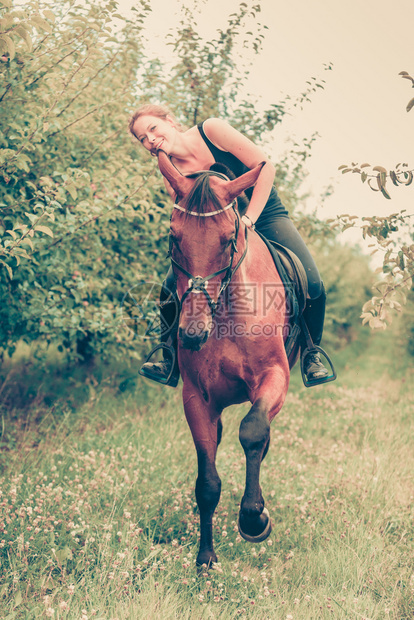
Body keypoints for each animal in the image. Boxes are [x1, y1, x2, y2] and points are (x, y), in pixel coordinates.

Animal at [157, 150, 292, 568]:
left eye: (229, 239)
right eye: (173, 237)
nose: (192, 333)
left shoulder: (275, 378)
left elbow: (252, 431)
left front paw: (253, 519)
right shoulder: (197, 398)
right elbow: (207, 482)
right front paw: (205, 558)